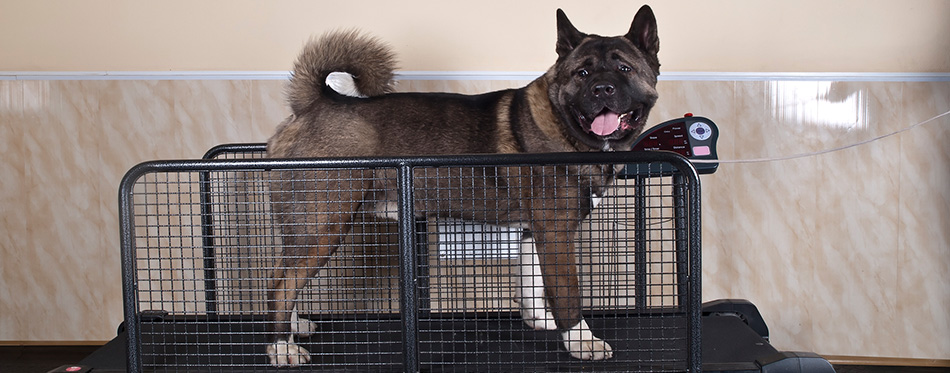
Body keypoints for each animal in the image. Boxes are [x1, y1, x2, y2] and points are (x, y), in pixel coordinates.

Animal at [264, 5, 660, 366]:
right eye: (583, 72)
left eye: (624, 69)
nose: (602, 88)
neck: (564, 123)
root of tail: (313, 104)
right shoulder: (557, 231)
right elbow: (567, 294)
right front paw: (580, 340)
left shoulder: (535, 233)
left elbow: (532, 285)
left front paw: (541, 322)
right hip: (322, 228)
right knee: (282, 283)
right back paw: (281, 347)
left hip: (304, 229)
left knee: (283, 274)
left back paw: (292, 328)